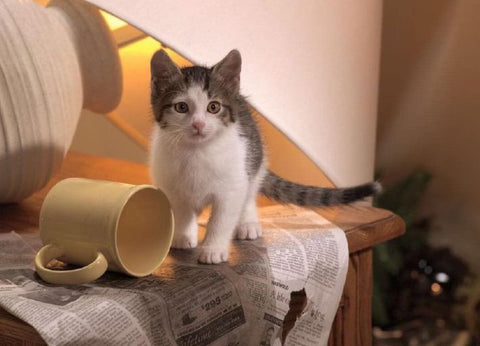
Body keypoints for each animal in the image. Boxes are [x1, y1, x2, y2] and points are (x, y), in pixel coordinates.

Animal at [148, 50, 380, 264]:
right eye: (181, 107)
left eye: (213, 107)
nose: (198, 124)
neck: (197, 152)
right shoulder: (171, 185)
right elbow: (182, 212)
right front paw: (183, 235)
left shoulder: (232, 186)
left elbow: (222, 219)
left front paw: (213, 249)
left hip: (254, 158)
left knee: (249, 193)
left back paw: (247, 223)